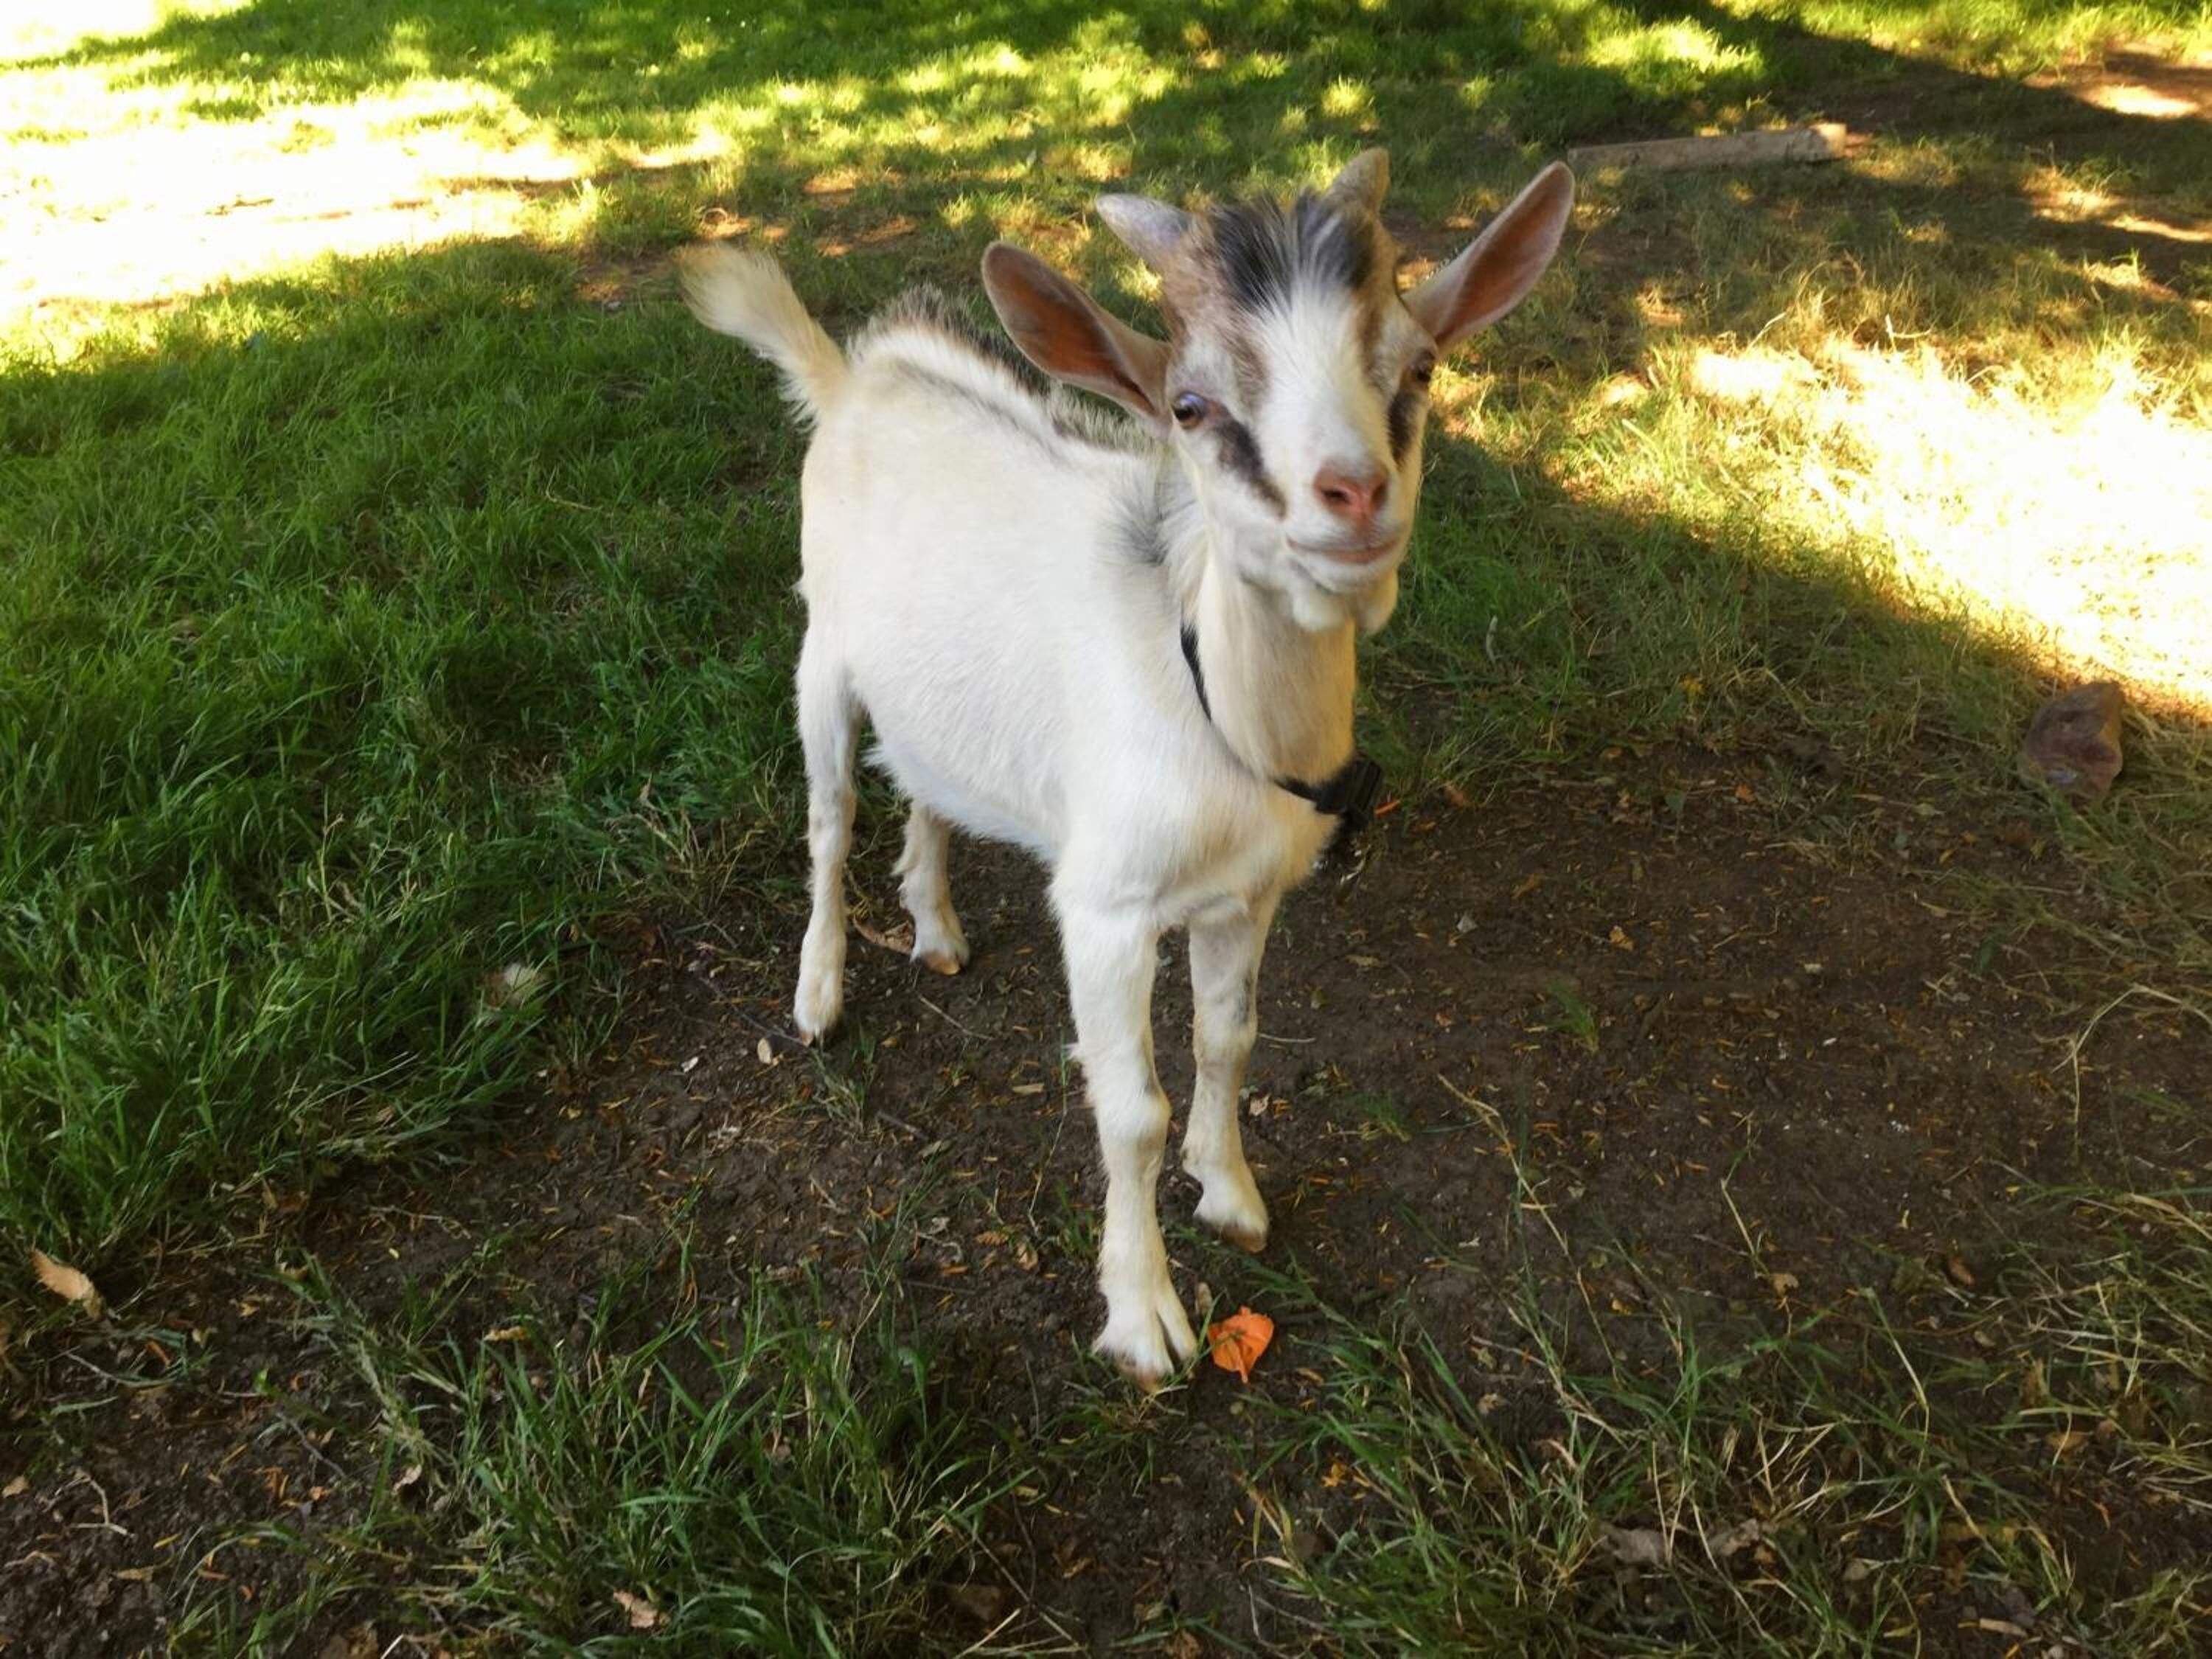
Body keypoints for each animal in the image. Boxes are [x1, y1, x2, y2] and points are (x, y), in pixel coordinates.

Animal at [680, 149, 1574, 1386]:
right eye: (1191, 409)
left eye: (1422, 366)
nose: (1352, 494)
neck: (1213, 704)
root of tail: (854, 379)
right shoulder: (1104, 907)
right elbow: (1131, 1109)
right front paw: (1144, 1316)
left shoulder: (1250, 891)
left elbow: (1229, 1037)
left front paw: (1233, 1196)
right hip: (823, 656)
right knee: (828, 817)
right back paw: (818, 994)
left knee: (921, 779)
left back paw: (937, 926)